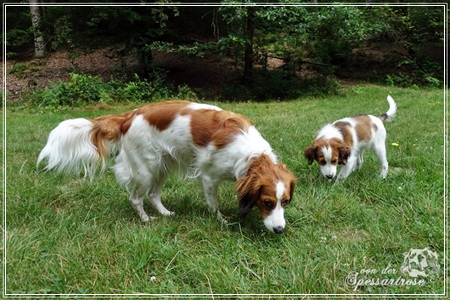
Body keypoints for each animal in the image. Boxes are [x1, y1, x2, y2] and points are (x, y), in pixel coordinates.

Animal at [37, 99, 296, 233]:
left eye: (285, 202)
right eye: (267, 202)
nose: (280, 230)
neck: (251, 154)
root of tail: (129, 116)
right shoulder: (209, 177)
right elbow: (213, 204)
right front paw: (222, 220)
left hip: (162, 165)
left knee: (153, 195)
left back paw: (164, 213)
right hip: (146, 169)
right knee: (136, 198)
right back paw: (146, 220)